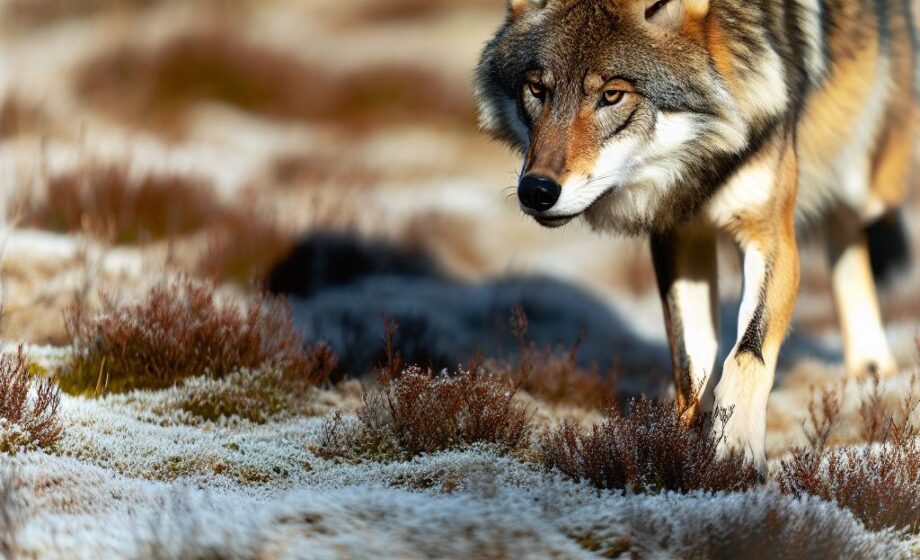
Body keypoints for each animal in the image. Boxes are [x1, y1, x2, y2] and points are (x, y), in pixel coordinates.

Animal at [476, 0, 917, 470]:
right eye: (537, 89)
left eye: (612, 95)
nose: (536, 191)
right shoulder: (679, 232)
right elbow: (691, 364)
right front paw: (683, 452)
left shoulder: (769, 232)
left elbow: (747, 351)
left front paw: (737, 451)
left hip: (866, 187)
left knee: (850, 228)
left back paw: (873, 367)